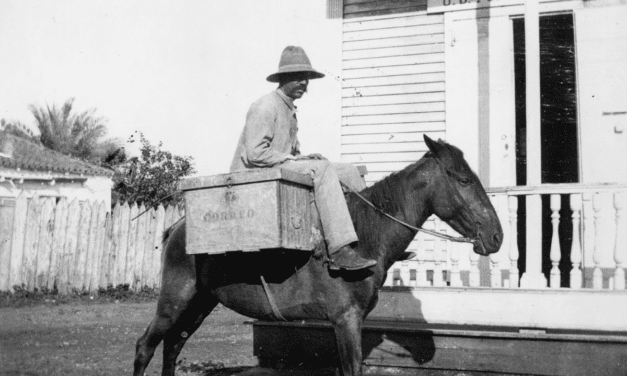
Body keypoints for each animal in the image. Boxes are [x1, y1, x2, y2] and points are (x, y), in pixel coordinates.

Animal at [134, 136, 506, 376]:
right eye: (463, 179)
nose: (497, 236)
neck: (364, 235)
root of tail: (176, 228)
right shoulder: (345, 319)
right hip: (174, 301)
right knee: (146, 347)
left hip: (200, 303)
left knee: (173, 346)